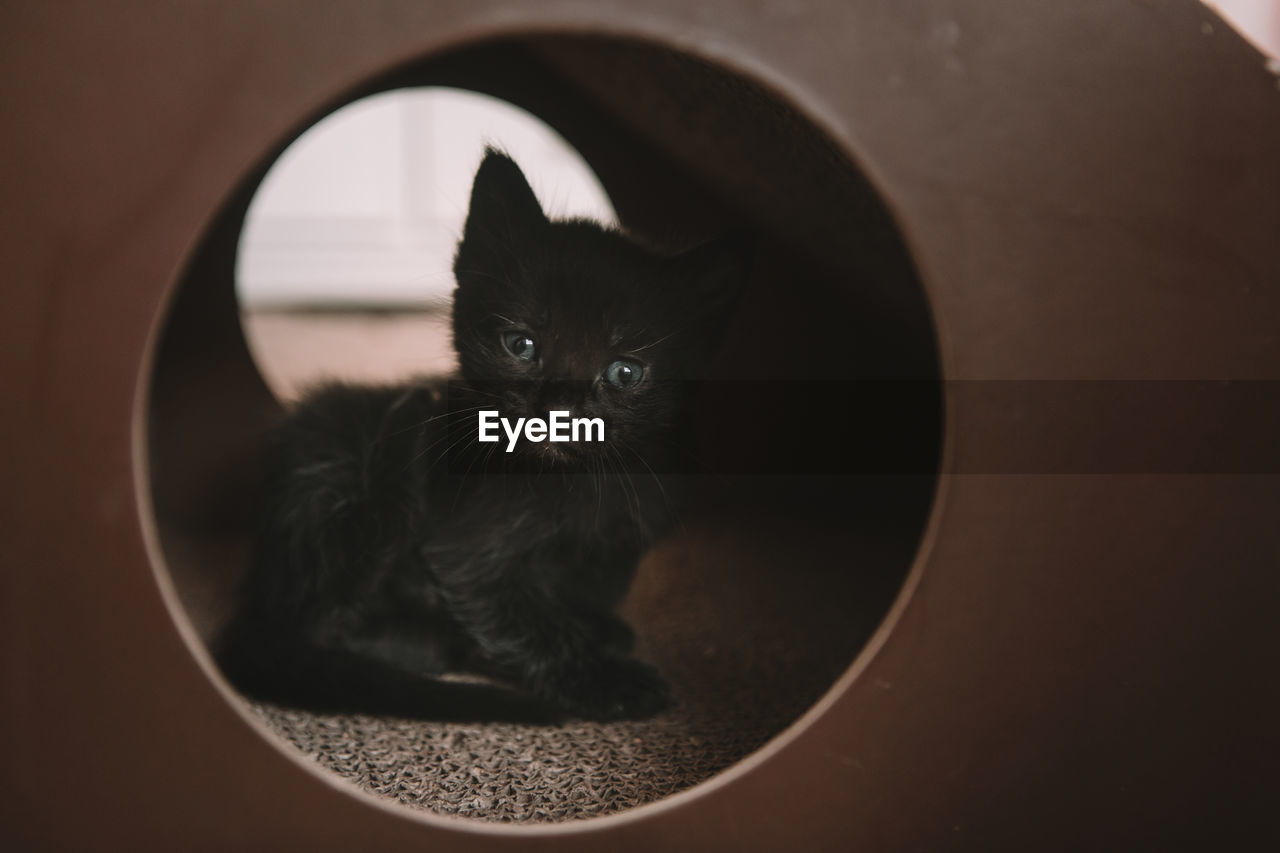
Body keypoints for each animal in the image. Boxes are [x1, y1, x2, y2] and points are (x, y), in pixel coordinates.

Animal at [215, 151, 747, 717]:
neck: (572, 485)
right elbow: (525, 618)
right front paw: (606, 679)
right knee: (323, 625)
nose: (558, 409)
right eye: (521, 345)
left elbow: (582, 590)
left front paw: (598, 629)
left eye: (625, 372)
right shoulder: (463, 549)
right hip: (348, 462)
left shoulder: (627, 532)